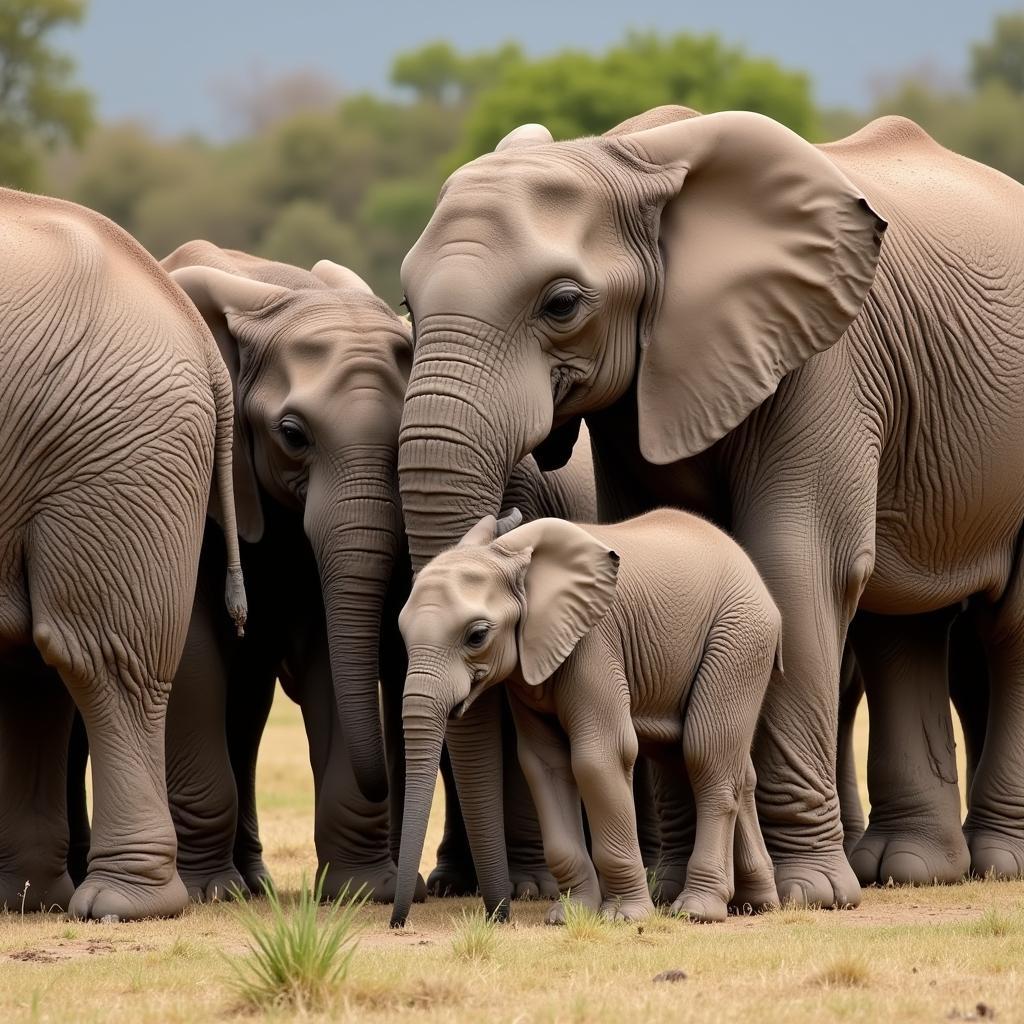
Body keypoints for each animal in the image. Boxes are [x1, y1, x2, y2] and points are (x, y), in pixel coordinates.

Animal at [395, 507, 778, 925]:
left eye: (477, 635)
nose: (399, 922)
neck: (511, 557)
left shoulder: (593, 642)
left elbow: (599, 758)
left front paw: (623, 918)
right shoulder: (531, 670)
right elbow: (545, 765)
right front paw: (568, 916)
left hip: (740, 638)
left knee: (705, 756)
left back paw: (698, 911)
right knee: (722, 765)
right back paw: (756, 904)